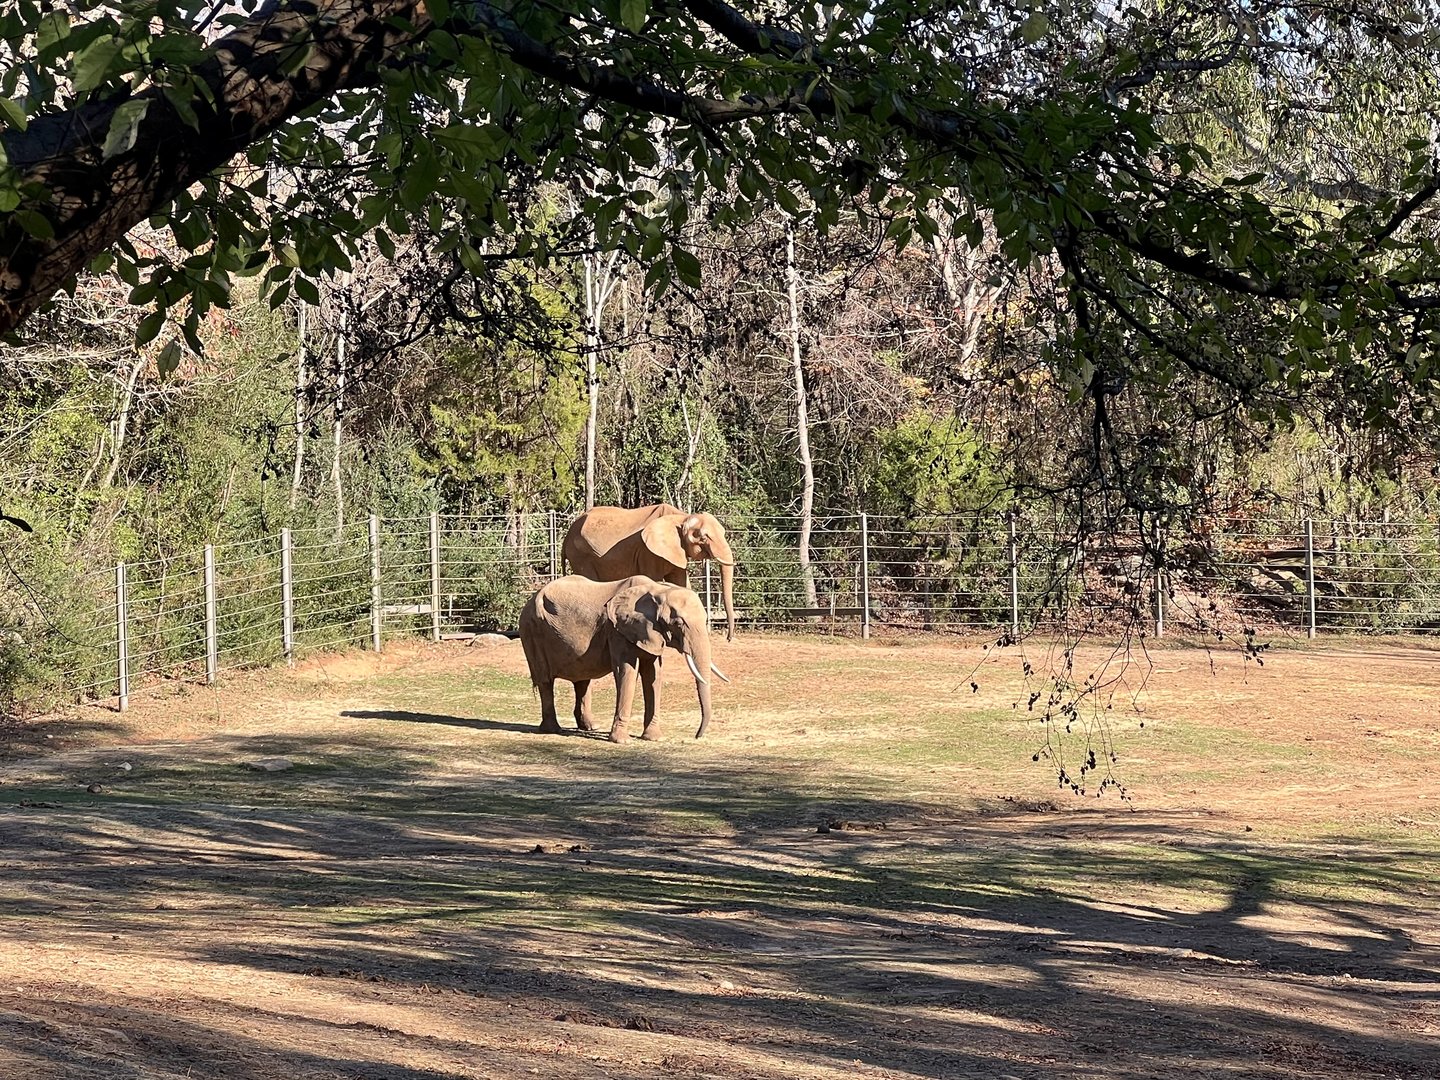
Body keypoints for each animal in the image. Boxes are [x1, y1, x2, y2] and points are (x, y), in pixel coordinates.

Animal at [519, 574, 730, 742]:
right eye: (678, 623)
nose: (697, 736)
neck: (658, 589)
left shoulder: (649, 632)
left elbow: (653, 674)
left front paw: (654, 738)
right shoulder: (617, 631)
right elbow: (626, 671)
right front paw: (622, 741)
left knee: (583, 680)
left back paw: (590, 727)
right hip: (531, 632)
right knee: (545, 680)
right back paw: (552, 730)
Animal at [562, 504, 737, 641]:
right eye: (703, 537)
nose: (728, 638)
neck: (680, 518)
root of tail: (567, 535)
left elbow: (681, 582)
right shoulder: (648, 552)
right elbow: (654, 580)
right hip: (581, 556)